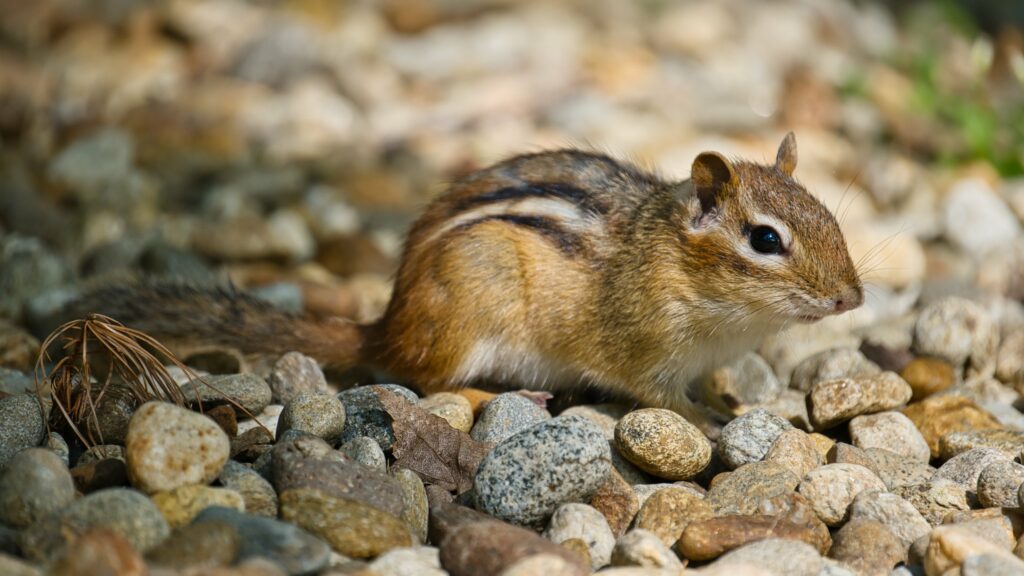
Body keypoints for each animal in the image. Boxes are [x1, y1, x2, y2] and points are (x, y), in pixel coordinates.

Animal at [74, 133, 863, 431]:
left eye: (829, 214)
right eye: (766, 240)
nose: (851, 299)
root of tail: (387, 324)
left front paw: (730, 398)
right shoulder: (645, 352)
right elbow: (663, 399)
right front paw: (709, 420)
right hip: (470, 313)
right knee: (427, 383)